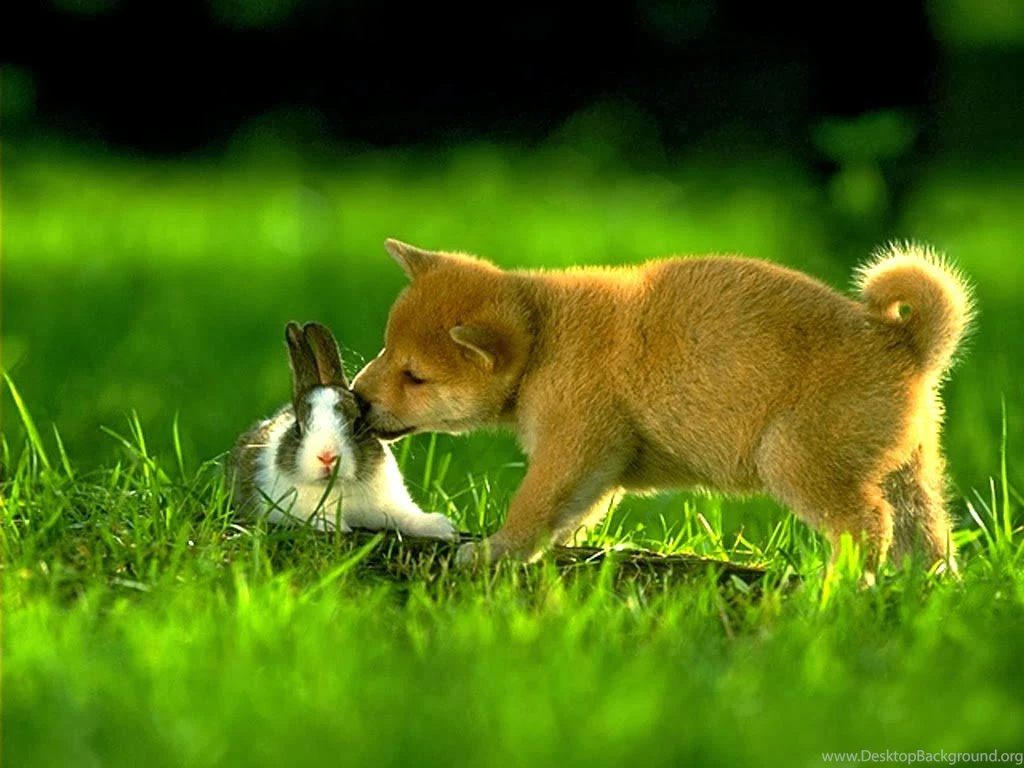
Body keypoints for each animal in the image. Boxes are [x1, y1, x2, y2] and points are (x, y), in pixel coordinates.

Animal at [229, 321, 460, 540]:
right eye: (298, 428)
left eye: (358, 424)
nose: (327, 456)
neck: (337, 488)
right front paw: (333, 525)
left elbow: (405, 517)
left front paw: (442, 527)